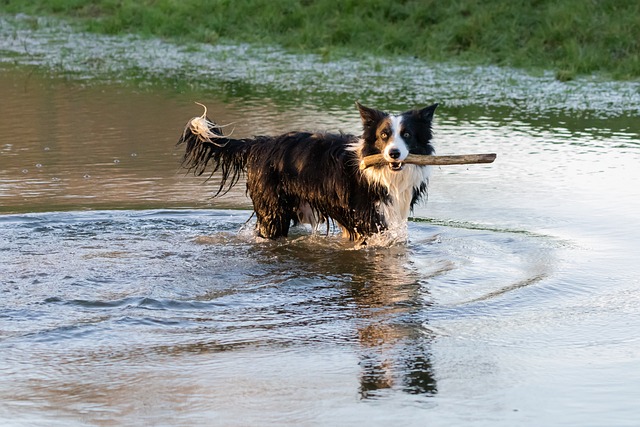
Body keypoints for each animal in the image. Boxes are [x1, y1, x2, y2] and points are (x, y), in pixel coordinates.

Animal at [180, 101, 440, 241]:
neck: (384, 173)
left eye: (407, 135)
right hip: (273, 211)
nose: (394, 154)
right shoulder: (368, 220)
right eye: (384, 135)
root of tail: (259, 144)